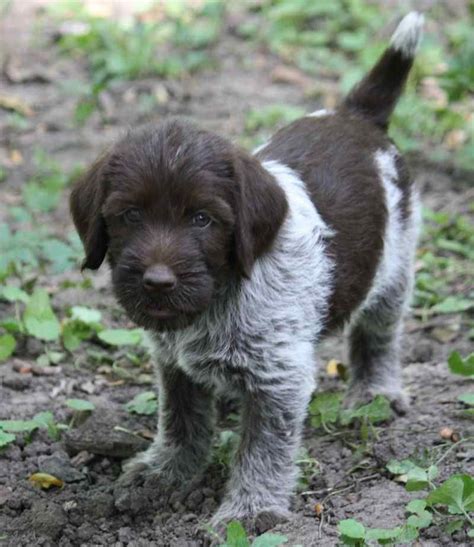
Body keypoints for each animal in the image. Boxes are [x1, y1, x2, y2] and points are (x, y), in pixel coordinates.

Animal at [69, 12, 422, 536]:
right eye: (129, 215)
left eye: (202, 219)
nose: (157, 281)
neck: (217, 297)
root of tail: (356, 115)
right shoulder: (174, 364)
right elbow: (183, 422)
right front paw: (166, 471)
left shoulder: (279, 378)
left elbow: (262, 449)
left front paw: (251, 511)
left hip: (395, 267)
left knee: (378, 332)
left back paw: (375, 390)